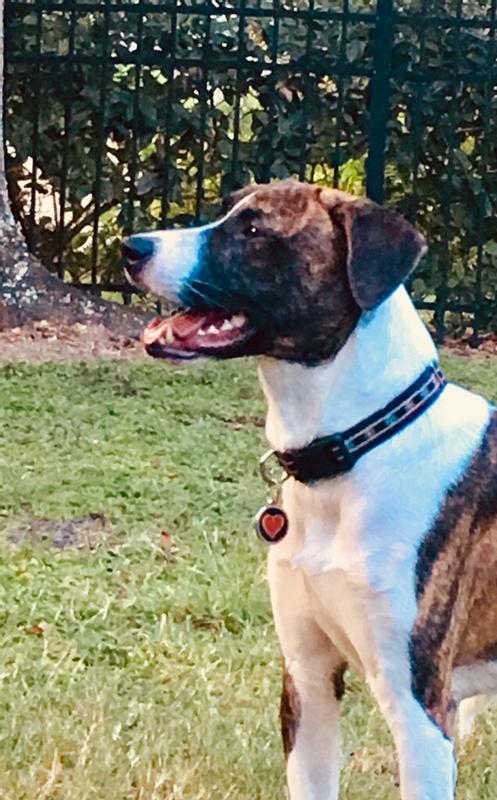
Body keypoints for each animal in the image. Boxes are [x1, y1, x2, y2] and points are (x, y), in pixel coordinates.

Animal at [122, 179, 497, 799]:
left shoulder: (422, 712)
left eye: (253, 229)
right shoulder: (308, 679)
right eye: (227, 212)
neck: (360, 448)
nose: (130, 247)